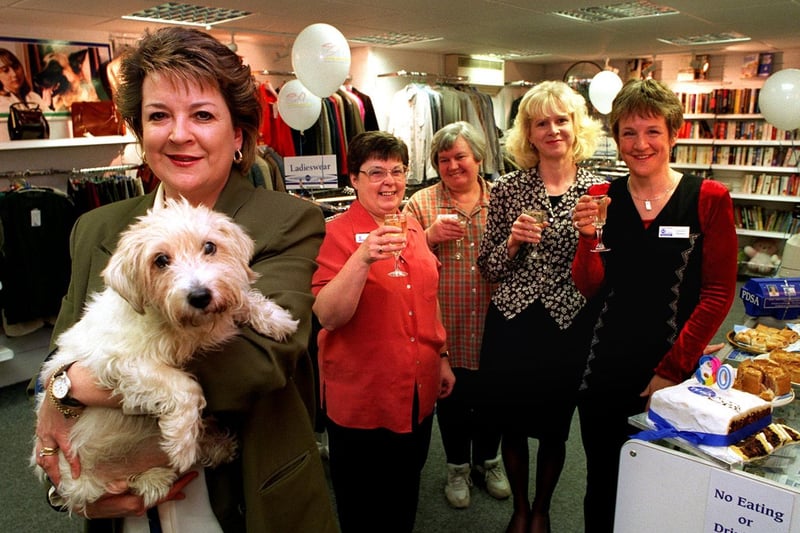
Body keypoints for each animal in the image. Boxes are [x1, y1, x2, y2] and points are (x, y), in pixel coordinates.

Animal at [31, 197, 300, 510]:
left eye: (210, 247)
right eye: (160, 261)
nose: (200, 296)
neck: (185, 328)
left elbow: (243, 298)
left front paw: (275, 318)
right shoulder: (120, 363)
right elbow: (185, 387)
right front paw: (181, 442)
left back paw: (215, 446)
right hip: (85, 481)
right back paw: (160, 474)